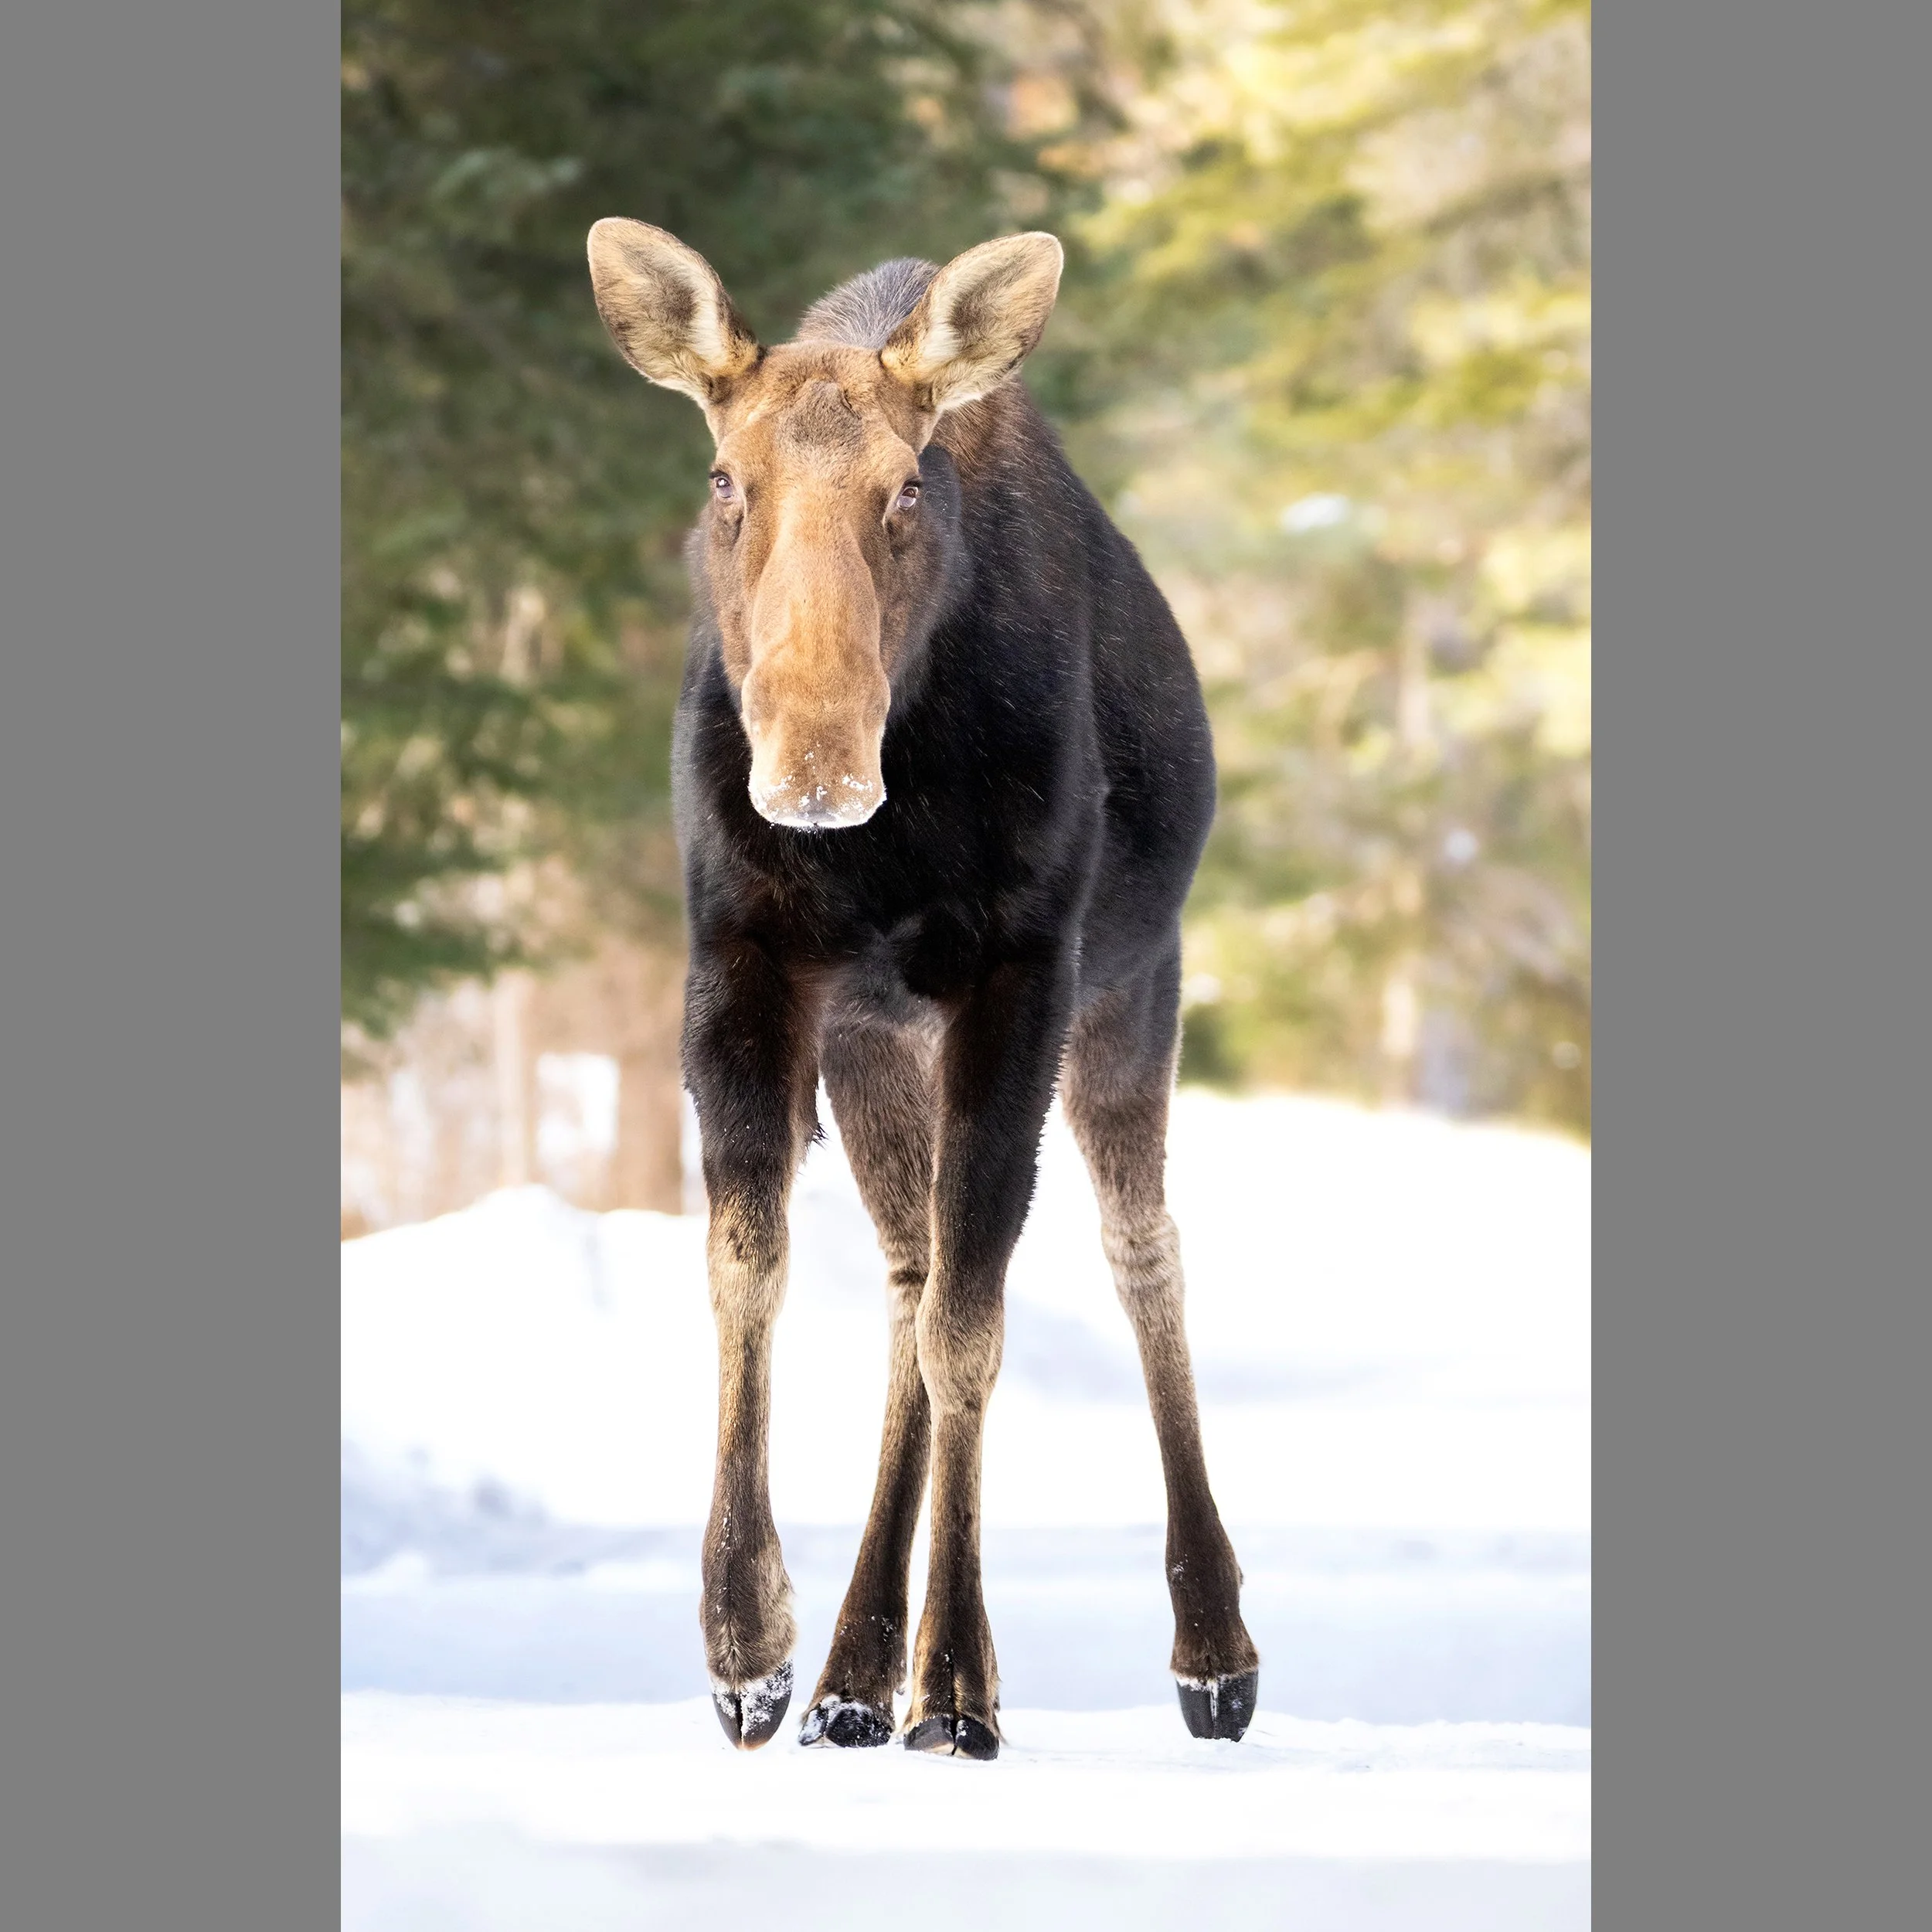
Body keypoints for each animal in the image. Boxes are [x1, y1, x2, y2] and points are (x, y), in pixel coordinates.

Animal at [586, 220, 1259, 1759]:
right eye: (725, 479)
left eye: (906, 488)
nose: (813, 767)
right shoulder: (747, 961)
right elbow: (752, 1265)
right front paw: (751, 1644)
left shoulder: (1023, 972)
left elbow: (975, 1327)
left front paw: (955, 1684)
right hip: (878, 1041)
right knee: (904, 1271)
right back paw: (850, 1671)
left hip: (1135, 984)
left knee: (1138, 1250)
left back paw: (1211, 1650)